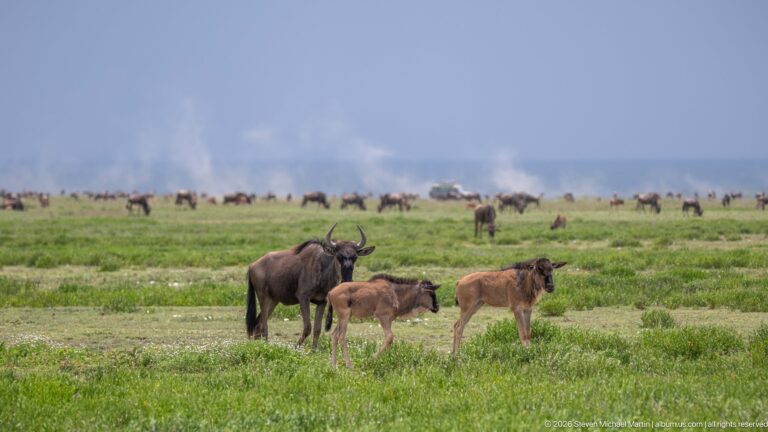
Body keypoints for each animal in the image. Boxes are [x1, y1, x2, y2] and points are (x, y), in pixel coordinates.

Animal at [246, 224, 375, 350]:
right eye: (338, 256)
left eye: (355, 257)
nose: (347, 280)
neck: (322, 269)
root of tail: (252, 265)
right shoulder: (303, 298)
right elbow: (307, 327)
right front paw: (296, 348)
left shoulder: (322, 302)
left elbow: (317, 329)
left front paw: (313, 351)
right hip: (263, 297)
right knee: (264, 324)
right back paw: (266, 345)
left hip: (273, 300)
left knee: (258, 323)